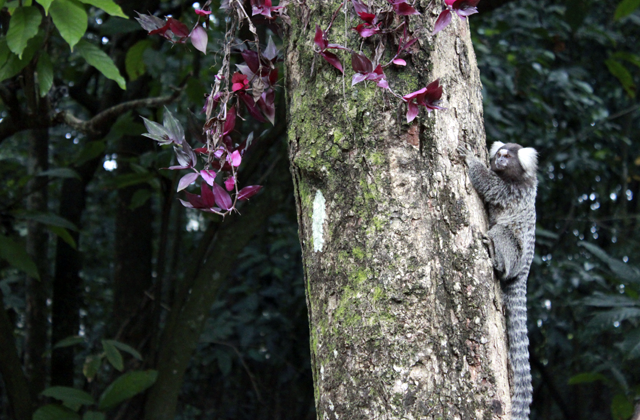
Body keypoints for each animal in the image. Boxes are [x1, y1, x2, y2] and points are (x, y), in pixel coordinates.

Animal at [458, 142, 536, 420]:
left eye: (507, 157)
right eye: (499, 155)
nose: (499, 161)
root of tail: (523, 272)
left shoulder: (512, 191)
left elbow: (489, 185)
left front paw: (471, 159)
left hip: (515, 255)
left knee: (502, 233)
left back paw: (496, 257)